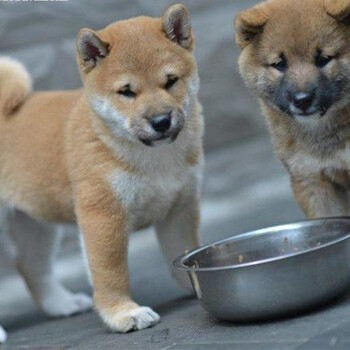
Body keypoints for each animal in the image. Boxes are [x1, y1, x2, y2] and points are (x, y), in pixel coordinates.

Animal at [0, 3, 202, 342]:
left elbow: (183, 251)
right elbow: (110, 274)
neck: (153, 157)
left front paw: (195, 285)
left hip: (34, 224)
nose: (161, 121)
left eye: (170, 81)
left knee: (31, 267)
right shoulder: (103, 215)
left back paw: (62, 303)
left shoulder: (180, 207)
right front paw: (123, 314)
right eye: (127, 92)